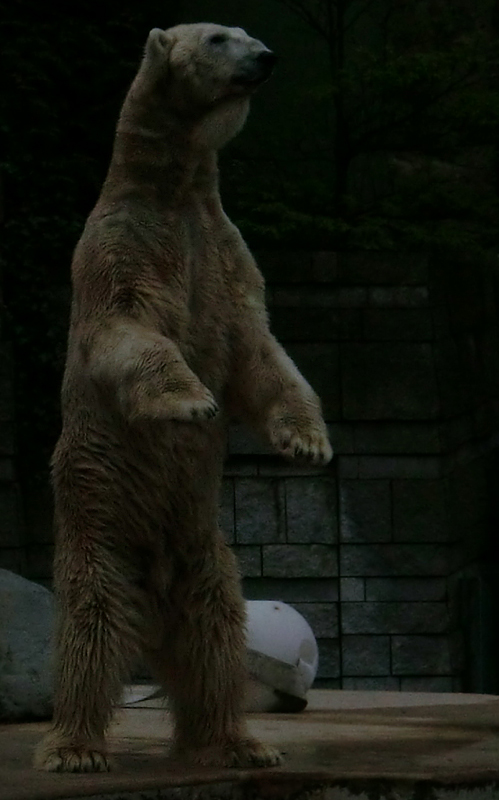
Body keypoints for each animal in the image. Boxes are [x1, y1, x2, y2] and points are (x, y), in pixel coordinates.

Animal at [34, 23, 332, 776]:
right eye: (219, 37)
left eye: (248, 33)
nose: (266, 58)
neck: (174, 189)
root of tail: (154, 598)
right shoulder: (121, 246)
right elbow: (127, 329)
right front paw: (191, 405)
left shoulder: (224, 250)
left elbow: (260, 349)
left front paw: (308, 443)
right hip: (101, 528)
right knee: (91, 628)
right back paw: (75, 746)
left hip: (203, 549)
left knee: (215, 636)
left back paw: (235, 741)